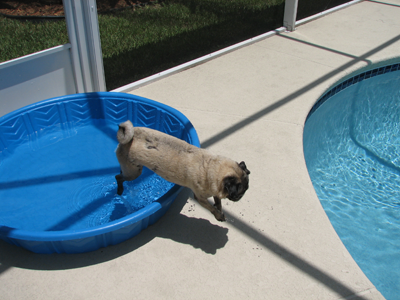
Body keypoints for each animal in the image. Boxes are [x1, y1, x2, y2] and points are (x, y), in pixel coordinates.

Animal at [114, 120, 250, 221]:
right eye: (238, 193)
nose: (240, 197)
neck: (209, 166)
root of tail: (131, 137)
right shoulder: (200, 198)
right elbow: (211, 208)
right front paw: (218, 215)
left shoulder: (216, 189)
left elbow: (218, 202)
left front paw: (219, 210)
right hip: (134, 173)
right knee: (118, 177)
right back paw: (119, 190)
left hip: (130, 169)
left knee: (120, 173)